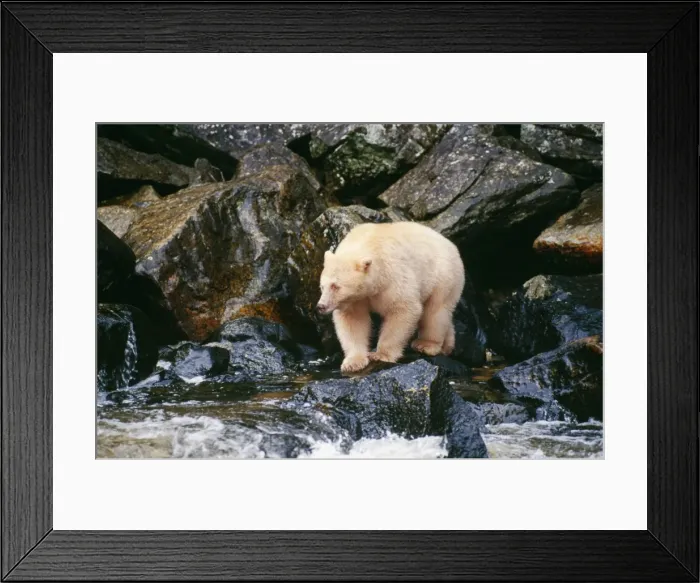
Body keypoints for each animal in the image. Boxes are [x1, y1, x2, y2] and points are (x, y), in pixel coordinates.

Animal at [316, 221, 466, 373]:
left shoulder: (393, 277)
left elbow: (403, 309)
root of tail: (451, 245)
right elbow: (353, 320)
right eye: (322, 286)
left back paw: (426, 345)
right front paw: (353, 362)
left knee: (435, 310)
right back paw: (447, 345)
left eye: (335, 286)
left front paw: (380, 355)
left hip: (443, 276)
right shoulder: (355, 299)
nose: (321, 306)